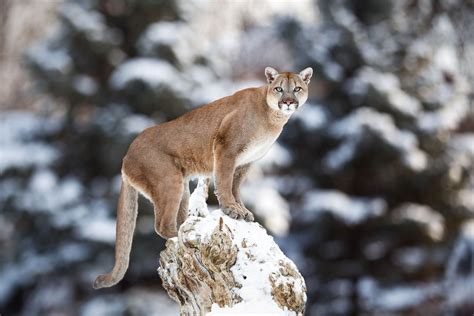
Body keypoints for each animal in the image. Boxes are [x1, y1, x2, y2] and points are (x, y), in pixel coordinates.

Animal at [94, 66, 312, 288]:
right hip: (169, 181)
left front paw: (242, 210)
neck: (272, 116)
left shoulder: (245, 163)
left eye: (296, 89)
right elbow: (224, 182)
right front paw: (231, 209)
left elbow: (235, 187)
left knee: (176, 217)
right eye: (278, 88)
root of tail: (126, 156)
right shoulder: (226, 149)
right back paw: (182, 236)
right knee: (162, 224)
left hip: (181, 188)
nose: (288, 102)